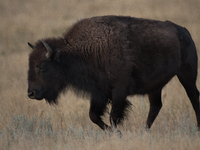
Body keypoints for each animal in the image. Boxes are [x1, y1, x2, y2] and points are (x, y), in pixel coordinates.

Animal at [27, 15, 199, 132]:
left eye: (41, 66)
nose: (31, 93)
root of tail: (184, 31)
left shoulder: (119, 91)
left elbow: (113, 117)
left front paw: (117, 133)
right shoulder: (99, 93)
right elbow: (94, 116)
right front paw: (113, 133)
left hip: (187, 75)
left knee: (193, 97)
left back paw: (196, 128)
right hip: (155, 86)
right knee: (156, 106)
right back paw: (144, 130)